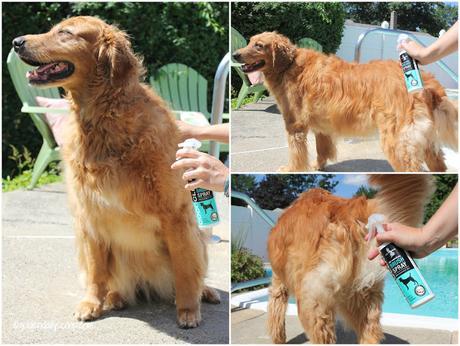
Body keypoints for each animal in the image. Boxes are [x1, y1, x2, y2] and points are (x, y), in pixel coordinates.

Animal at [13, 15, 222, 328]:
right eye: (53, 29)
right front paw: (91, 303)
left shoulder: (176, 216)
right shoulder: (90, 218)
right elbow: (96, 272)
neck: (102, 119)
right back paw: (114, 297)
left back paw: (204, 292)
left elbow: (185, 269)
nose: (16, 42)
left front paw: (187, 310)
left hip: (197, 236)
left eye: (65, 32)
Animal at [232, 31, 458, 172]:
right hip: (426, 143)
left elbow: (296, 155)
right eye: (250, 42)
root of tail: (429, 84)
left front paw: (291, 169)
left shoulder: (294, 126)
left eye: (259, 46)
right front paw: (318, 166)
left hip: (397, 143)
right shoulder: (321, 127)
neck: (288, 64)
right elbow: (322, 150)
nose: (235, 54)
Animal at [266, 174, 434, 342]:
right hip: (365, 298)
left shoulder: (278, 284)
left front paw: (278, 340)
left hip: (313, 303)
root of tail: (343, 209)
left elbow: (276, 317)